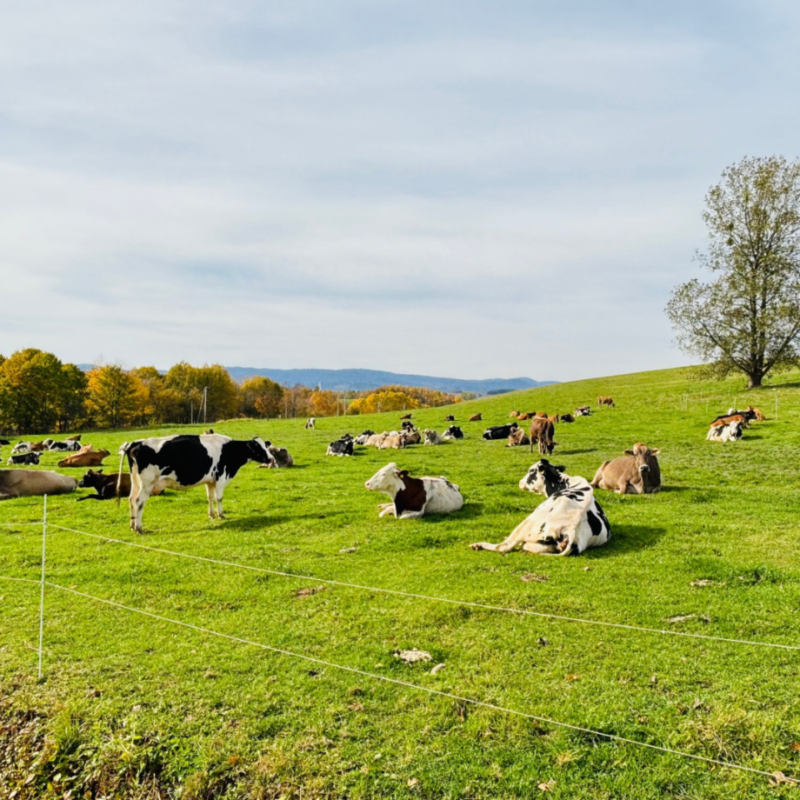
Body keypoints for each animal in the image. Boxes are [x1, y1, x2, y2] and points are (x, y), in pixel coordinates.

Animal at [119, 434, 276, 536]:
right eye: (258, 448)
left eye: (266, 446)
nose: (271, 459)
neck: (230, 450)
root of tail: (136, 443)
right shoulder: (221, 477)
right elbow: (219, 498)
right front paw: (221, 515)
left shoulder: (210, 481)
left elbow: (210, 497)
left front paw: (211, 515)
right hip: (147, 484)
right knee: (139, 502)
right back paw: (139, 528)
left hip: (136, 482)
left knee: (131, 500)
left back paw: (132, 525)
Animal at [472, 456, 608, 556]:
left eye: (531, 471)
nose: (520, 482)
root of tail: (572, 529)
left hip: (527, 523)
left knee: (504, 547)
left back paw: (479, 544)